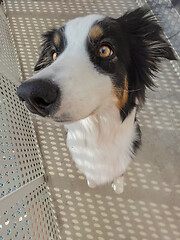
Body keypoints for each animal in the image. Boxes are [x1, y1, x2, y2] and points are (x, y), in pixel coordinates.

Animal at [17, 7, 176, 194]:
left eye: (104, 50)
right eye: (54, 54)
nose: (29, 93)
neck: (98, 133)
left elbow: (120, 173)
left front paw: (118, 186)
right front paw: (92, 181)